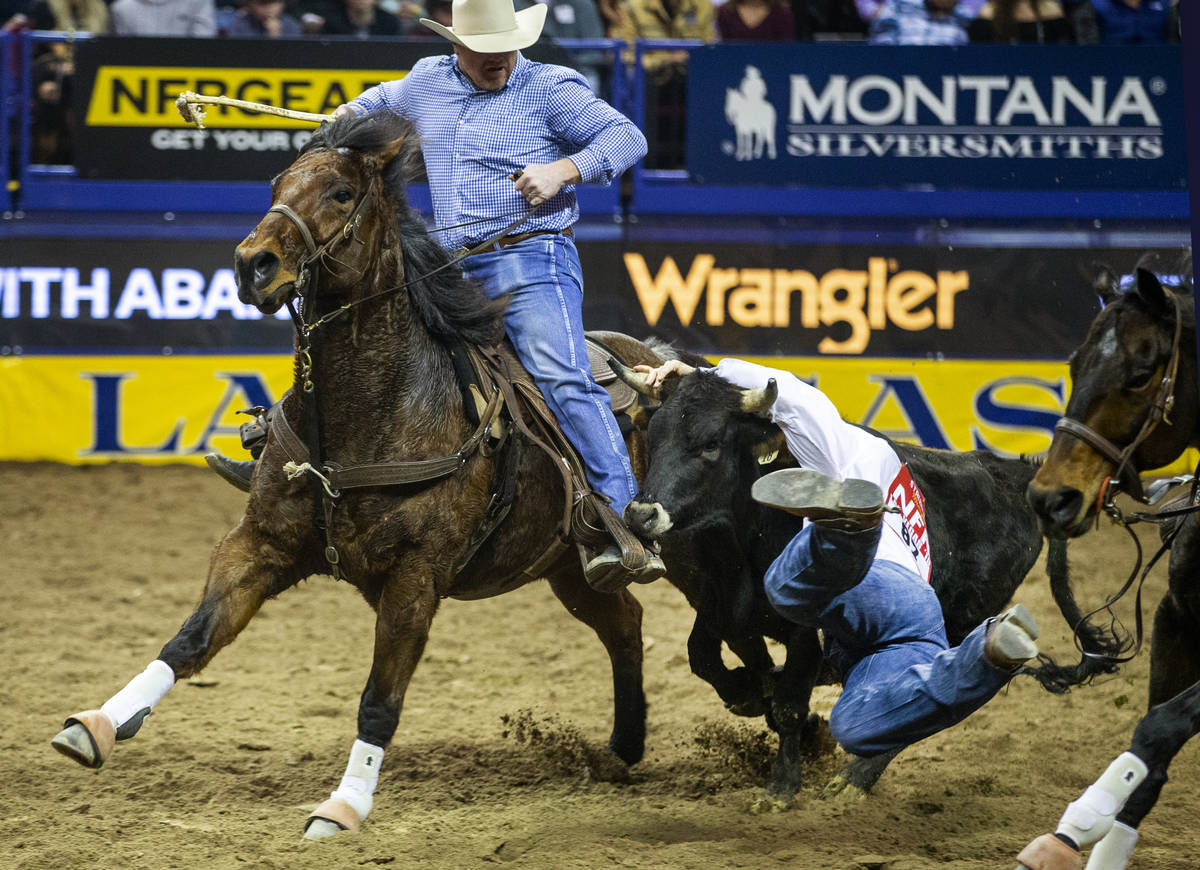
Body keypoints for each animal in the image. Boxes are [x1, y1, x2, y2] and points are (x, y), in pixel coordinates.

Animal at [49, 112, 667, 840]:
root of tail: (651, 357)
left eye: (342, 193)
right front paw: (97, 725)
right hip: (568, 569)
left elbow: (378, 700)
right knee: (623, 622)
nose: (252, 264)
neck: (373, 413)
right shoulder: (260, 544)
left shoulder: (415, 577)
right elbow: (192, 638)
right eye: (276, 184)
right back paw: (623, 749)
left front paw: (342, 807)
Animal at [1022, 261, 1200, 864]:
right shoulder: (1175, 618)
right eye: (1074, 365)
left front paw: (1081, 821)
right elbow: (1153, 759)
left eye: (1143, 372)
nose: (1051, 498)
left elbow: (1161, 727)